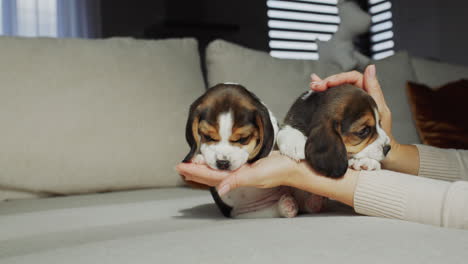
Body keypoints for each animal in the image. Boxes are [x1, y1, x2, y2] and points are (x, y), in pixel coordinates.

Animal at [181, 83, 298, 219]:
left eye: (243, 139)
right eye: (208, 137)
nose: (223, 163)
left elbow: (282, 134)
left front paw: (294, 144)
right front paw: (199, 159)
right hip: (242, 213)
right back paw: (286, 206)